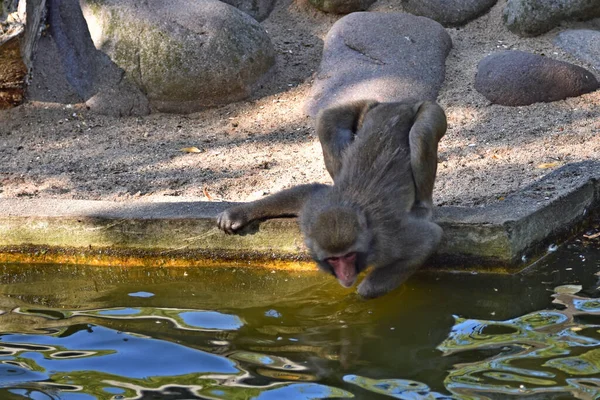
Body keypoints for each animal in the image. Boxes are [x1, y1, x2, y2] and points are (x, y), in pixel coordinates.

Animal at [216, 101, 446, 296]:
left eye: (349, 255)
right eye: (334, 259)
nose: (346, 275)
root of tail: (398, 104)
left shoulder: (388, 240)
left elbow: (430, 238)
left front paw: (359, 294)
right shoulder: (314, 208)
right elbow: (305, 193)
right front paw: (238, 213)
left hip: (431, 111)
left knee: (420, 134)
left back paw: (422, 206)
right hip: (368, 108)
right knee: (327, 121)